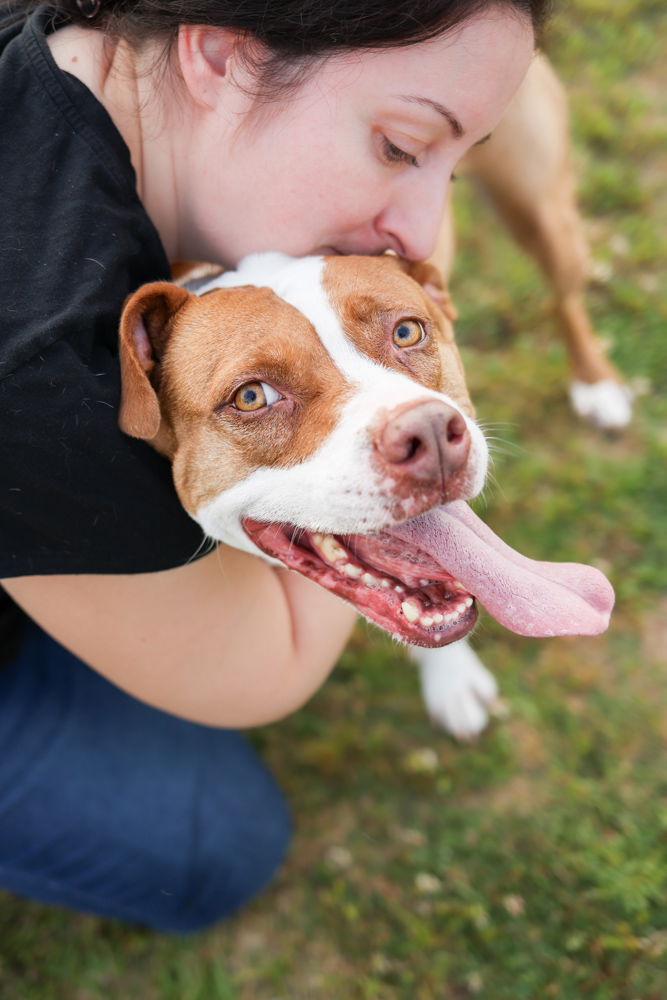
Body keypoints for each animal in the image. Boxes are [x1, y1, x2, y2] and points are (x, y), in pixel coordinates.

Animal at [118, 256, 612, 744]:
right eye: (252, 396)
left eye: (407, 331)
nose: (429, 430)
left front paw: (452, 676)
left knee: (564, 291)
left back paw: (596, 383)